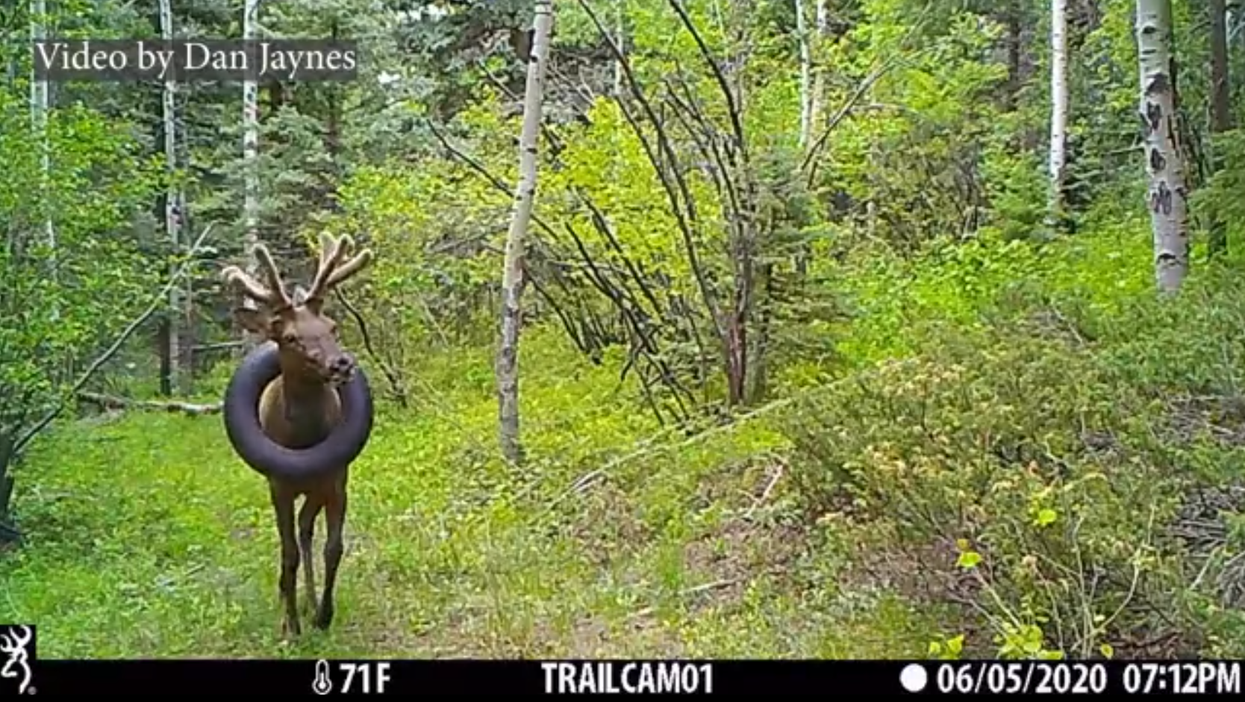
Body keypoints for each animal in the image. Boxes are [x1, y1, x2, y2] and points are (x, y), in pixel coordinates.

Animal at [220, 232, 373, 638]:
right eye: (289, 337)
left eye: (332, 326)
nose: (342, 364)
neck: (304, 439)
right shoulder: (279, 485)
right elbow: (286, 552)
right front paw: (290, 626)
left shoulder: (336, 479)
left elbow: (333, 547)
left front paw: (323, 615)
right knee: (294, 538)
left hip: (318, 485)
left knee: (306, 529)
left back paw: (309, 600)